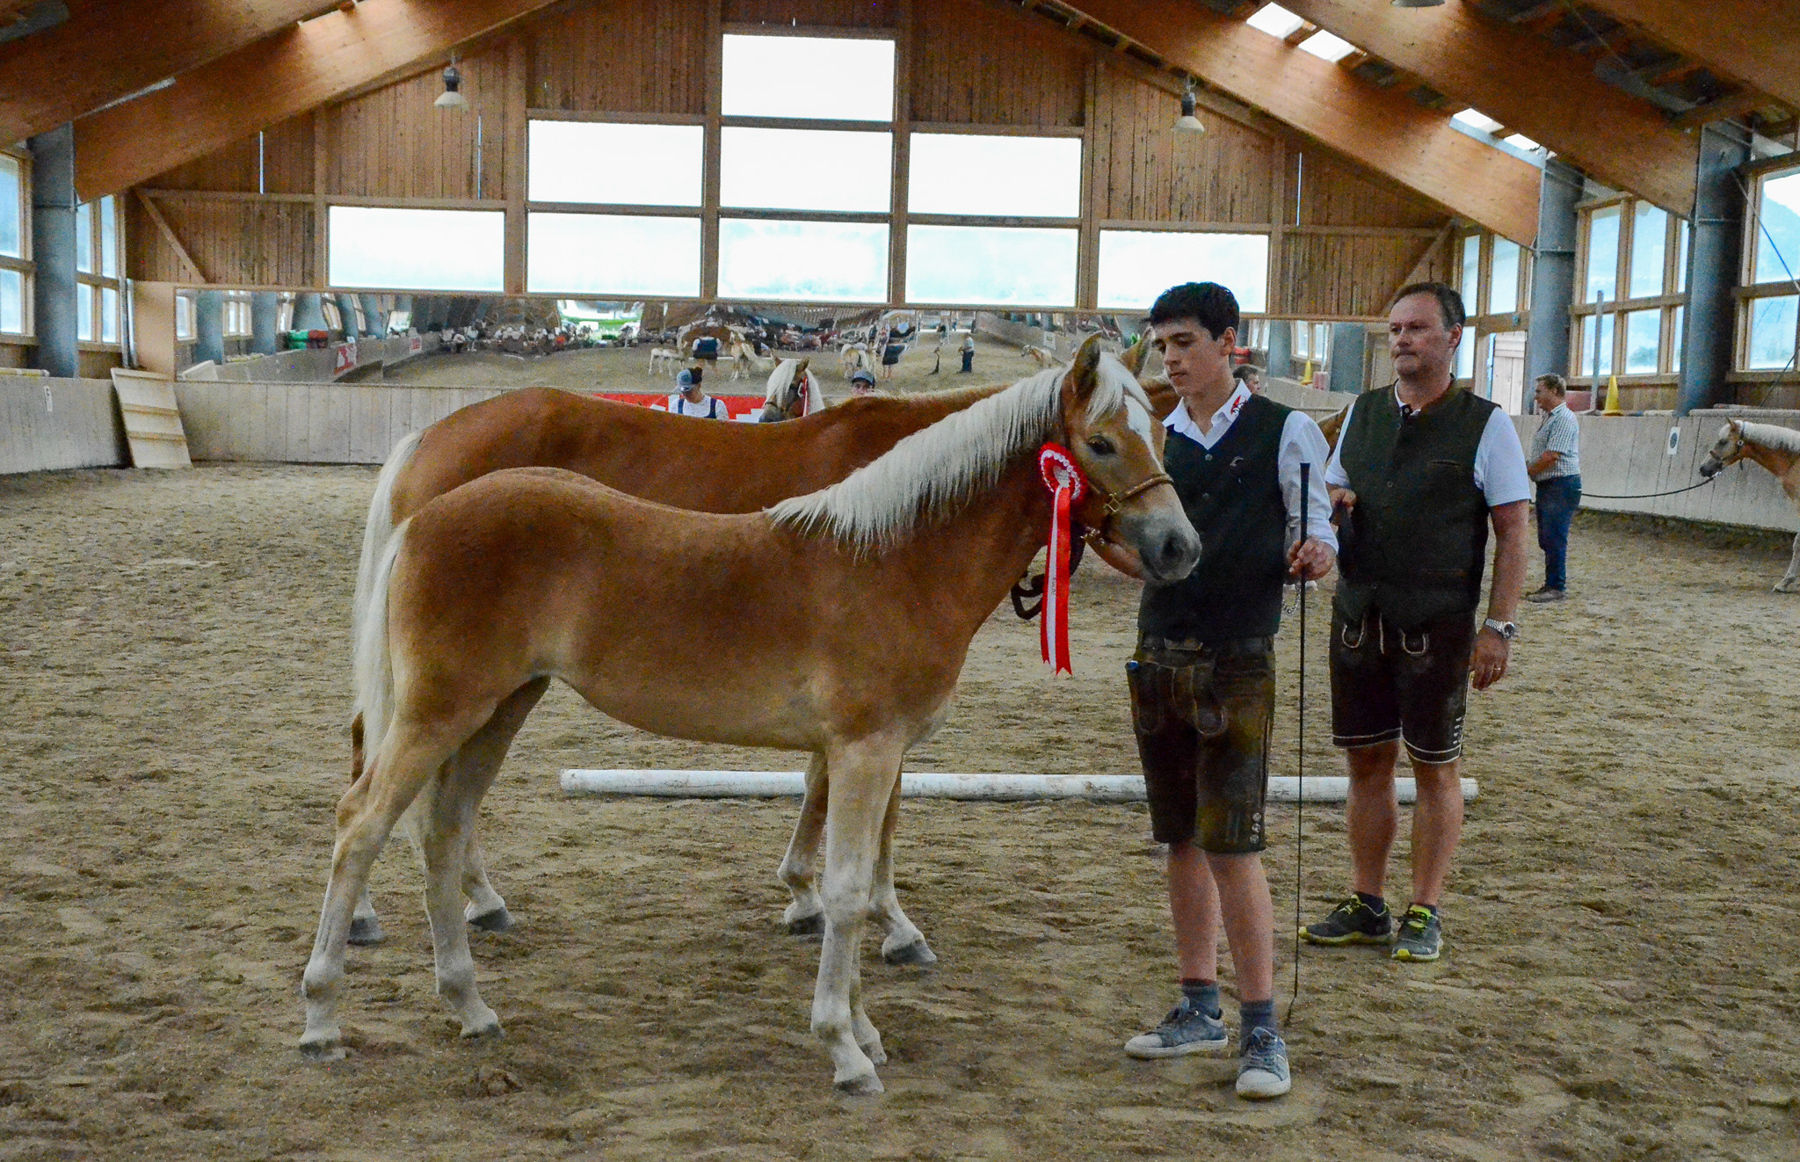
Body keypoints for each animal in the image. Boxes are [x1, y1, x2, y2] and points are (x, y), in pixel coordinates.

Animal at [298, 339, 1195, 1100]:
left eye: (1161, 435)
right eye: (1102, 444)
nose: (1180, 547)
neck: (894, 557)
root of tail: (426, 510)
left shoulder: (871, 750)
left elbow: (854, 871)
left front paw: (865, 1025)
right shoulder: (868, 748)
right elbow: (847, 888)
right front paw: (843, 1046)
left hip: (498, 709)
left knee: (444, 829)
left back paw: (470, 1004)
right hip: (437, 712)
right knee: (361, 823)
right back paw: (321, 1016)